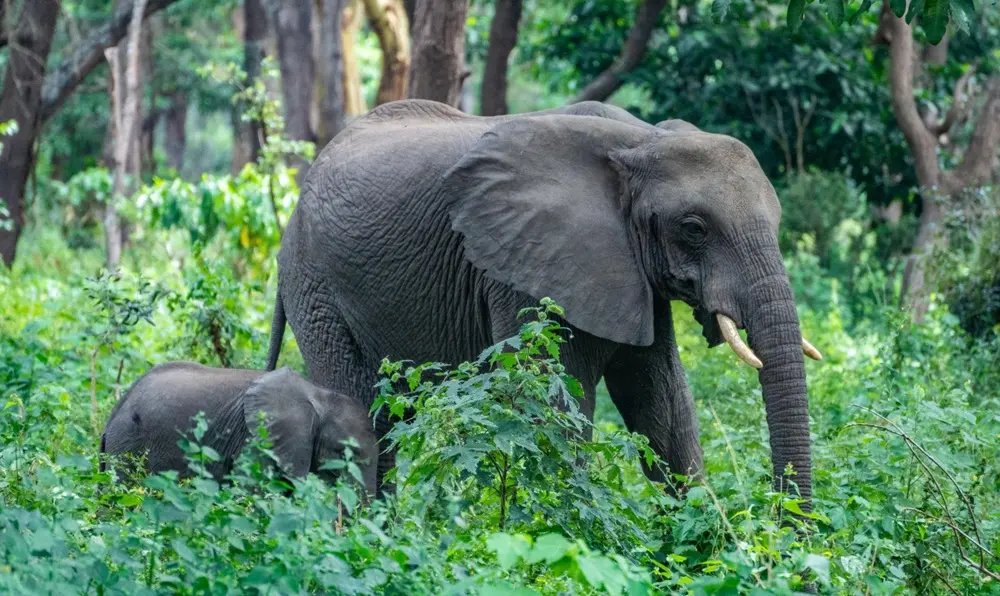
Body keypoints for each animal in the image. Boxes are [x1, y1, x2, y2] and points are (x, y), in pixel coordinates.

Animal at [265, 98, 823, 507]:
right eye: (694, 229)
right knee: (362, 418)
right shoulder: (523, 268)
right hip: (316, 287)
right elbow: (553, 411)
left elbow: (661, 406)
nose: (790, 534)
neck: (641, 140)